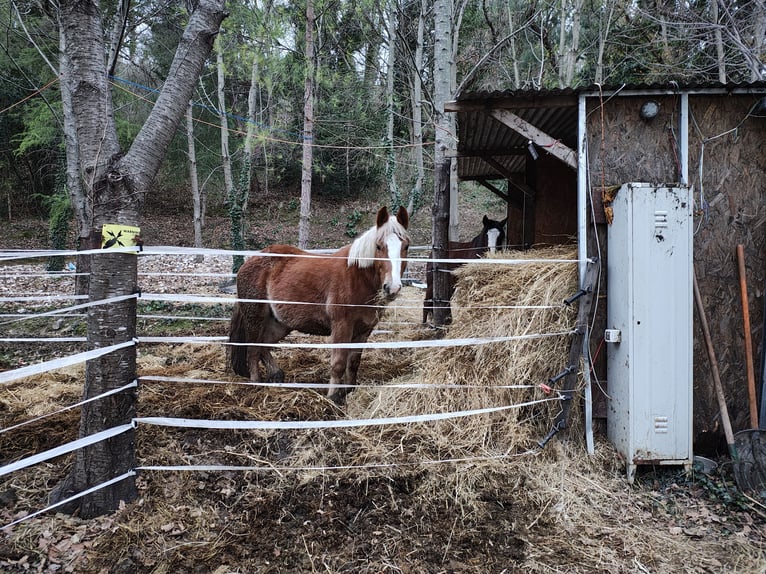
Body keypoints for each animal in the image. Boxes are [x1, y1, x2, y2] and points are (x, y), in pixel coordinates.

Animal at [228, 207, 412, 404]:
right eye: (378, 246)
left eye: (406, 246)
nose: (392, 287)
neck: (358, 278)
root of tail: (250, 261)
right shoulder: (342, 326)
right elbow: (338, 363)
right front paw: (333, 397)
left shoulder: (364, 330)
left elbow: (353, 363)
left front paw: (348, 392)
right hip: (255, 318)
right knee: (253, 349)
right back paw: (256, 383)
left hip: (279, 323)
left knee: (264, 344)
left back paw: (276, 375)